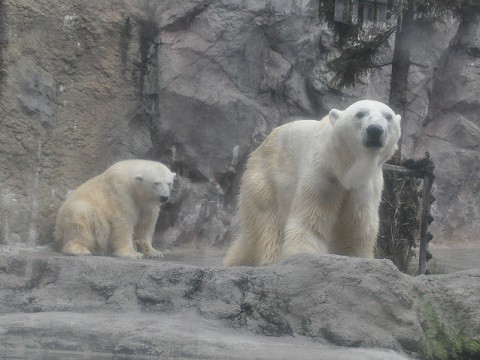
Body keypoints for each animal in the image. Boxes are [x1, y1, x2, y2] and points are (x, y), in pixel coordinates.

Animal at [224, 100, 402, 266]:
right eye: (360, 114)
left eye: (388, 116)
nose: (375, 130)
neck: (344, 168)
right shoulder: (322, 173)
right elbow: (311, 218)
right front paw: (304, 256)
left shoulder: (364, 185)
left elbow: (357, 227)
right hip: (263, 182)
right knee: (268, 224)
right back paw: (270, 260)